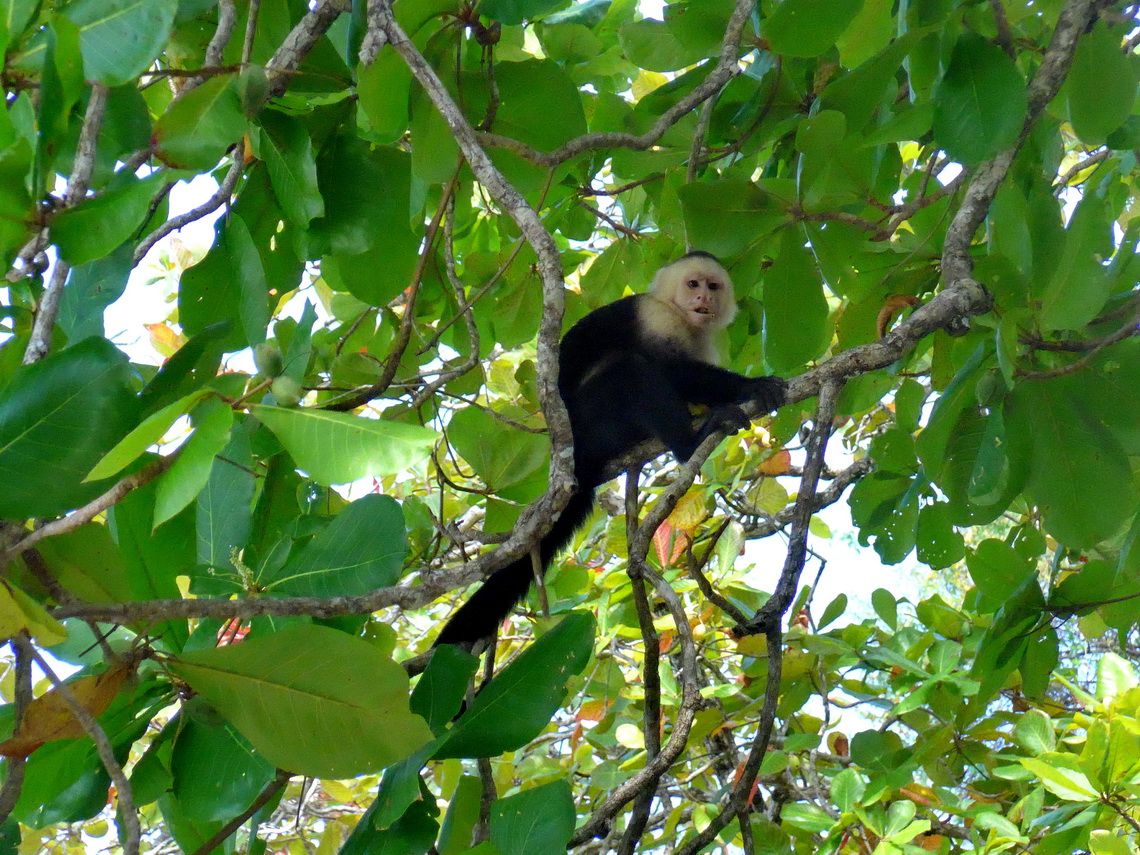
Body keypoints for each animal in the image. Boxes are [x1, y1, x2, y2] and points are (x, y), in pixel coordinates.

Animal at [433, 253, 784, 647]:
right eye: (693, 284)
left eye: (713, 286)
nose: (703, 299)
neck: (680, 315)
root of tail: (574, 457)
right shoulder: (657, 316)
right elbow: (674, 370)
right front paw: (751, 386)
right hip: (595, 421)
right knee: (631, 368)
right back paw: (689, 443)